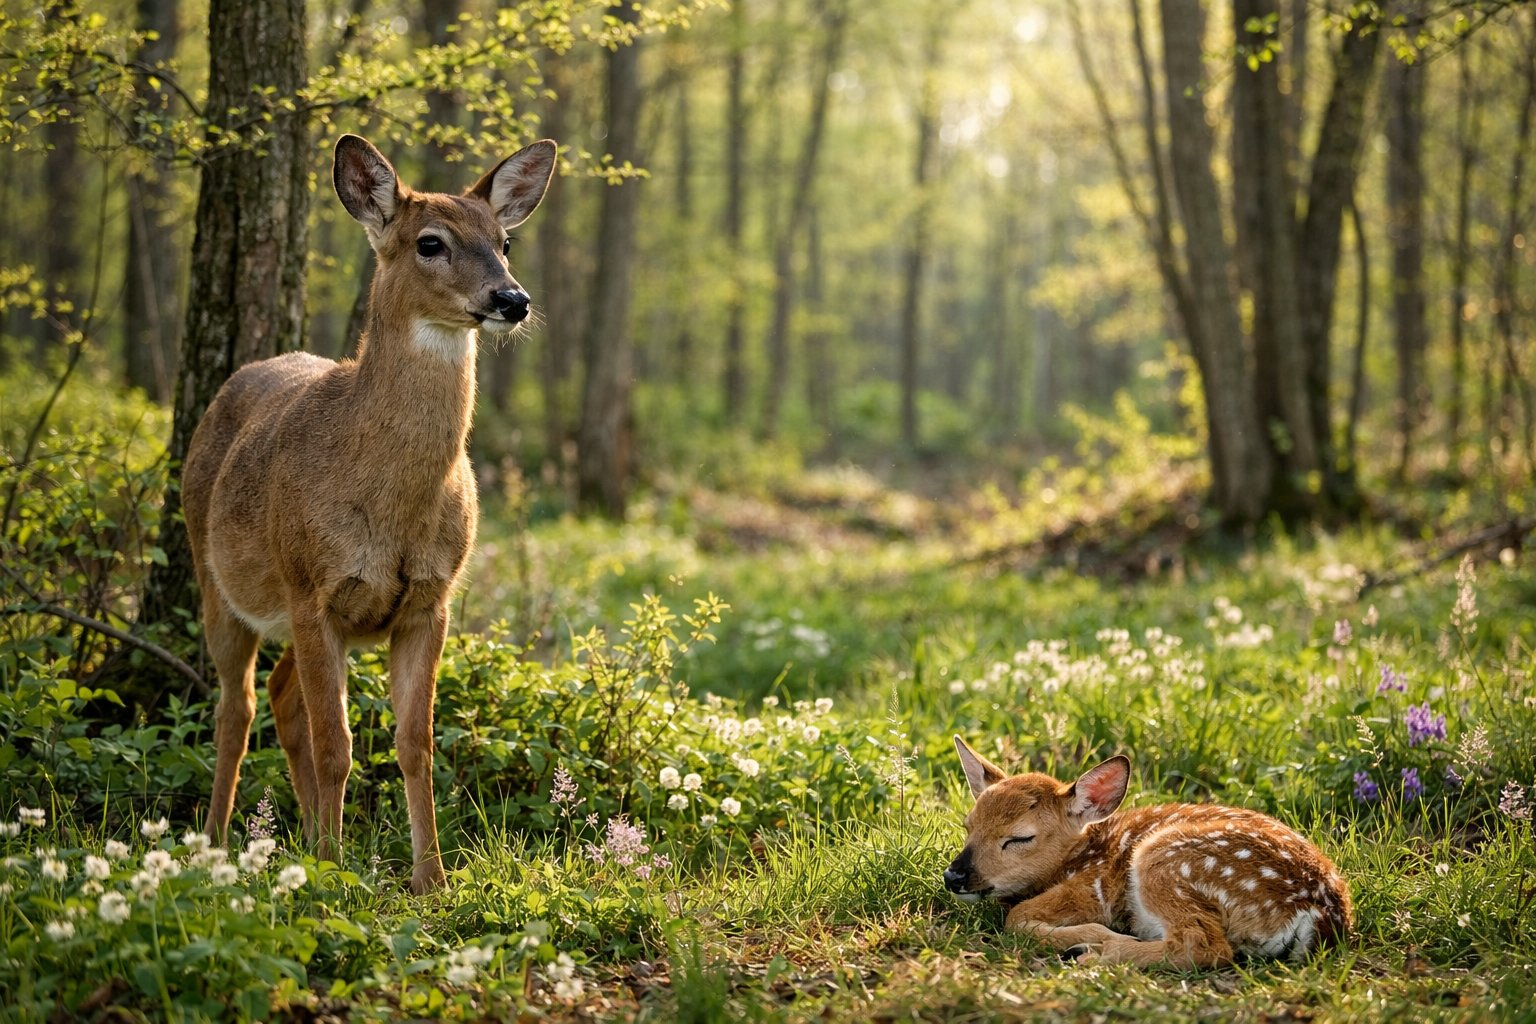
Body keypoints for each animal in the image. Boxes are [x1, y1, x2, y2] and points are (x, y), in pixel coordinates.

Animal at [181, 134, 556, 893]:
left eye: (505, 241)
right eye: (430, 242)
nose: (512, 299)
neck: (392, 505)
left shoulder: (428, 601)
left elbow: (416, 743)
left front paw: (430, 878)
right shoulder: (311, 589)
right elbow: (339, 744)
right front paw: (332, 872)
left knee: (281, 699)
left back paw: (300, 836)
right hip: (218, 580)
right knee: (237, 707)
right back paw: (217, 841)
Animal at [945, 736, 1352, 967]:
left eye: (1019, 838)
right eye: (968, 825)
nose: (953, 875)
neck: (1079, 855)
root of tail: (1320, 912)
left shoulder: (1091, 889)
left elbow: (1016, 919)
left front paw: (1085, 936)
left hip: (1165, 860)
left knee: (1205, 946)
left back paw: (1093, 952)